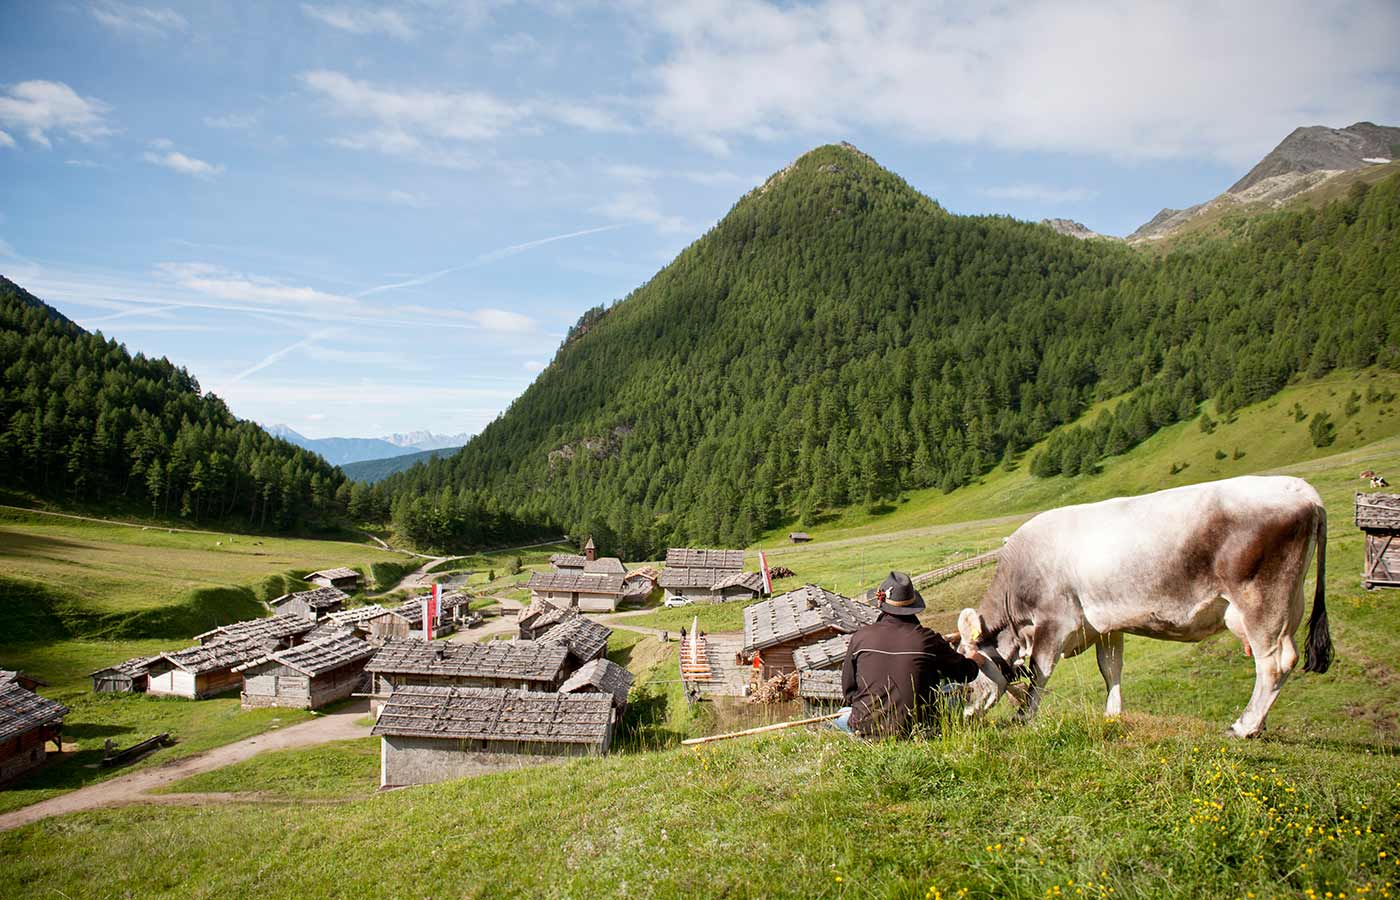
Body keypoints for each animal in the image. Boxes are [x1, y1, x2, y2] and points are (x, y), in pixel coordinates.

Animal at [957, 475, 1327, 733]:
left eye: (965, 677)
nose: (958, 719)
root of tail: (1302, 490)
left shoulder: (1054, 623)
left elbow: (1040, 672)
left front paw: (1023, 716)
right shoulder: (1105, 627)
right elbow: (1110, 668)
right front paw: (1112, 713)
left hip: (1262, 602)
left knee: (1274, 663)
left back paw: (1244, 725)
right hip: (1291, 603)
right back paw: (1258, 724)